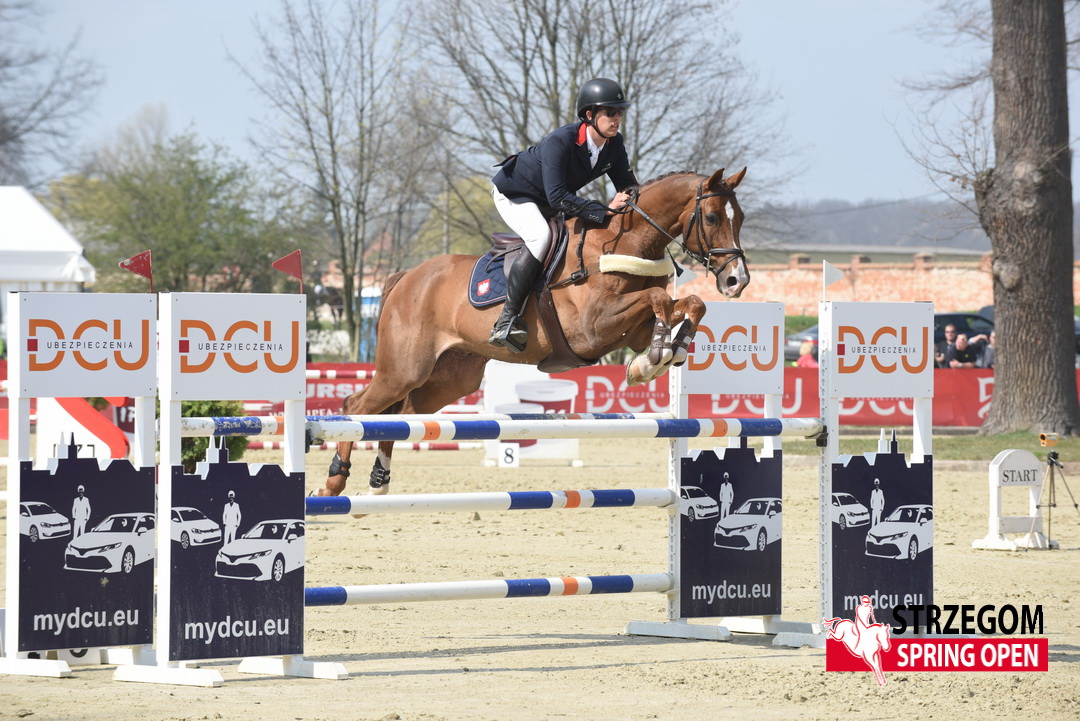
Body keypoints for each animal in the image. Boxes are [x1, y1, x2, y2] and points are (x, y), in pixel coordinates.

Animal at [315, 167, 749, 497]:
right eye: (712, 218)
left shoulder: (626, 331)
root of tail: (407, 277)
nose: (737, 281)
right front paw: (656, 357)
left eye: (740, 218)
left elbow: (690, 303)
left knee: (402, 416)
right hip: (404, 368)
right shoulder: (592, 328)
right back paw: (334, 482)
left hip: (450, 378)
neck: (625, 241)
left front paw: (661, 355)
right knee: (358, 407)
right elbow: (658, 296)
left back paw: (380, 481)